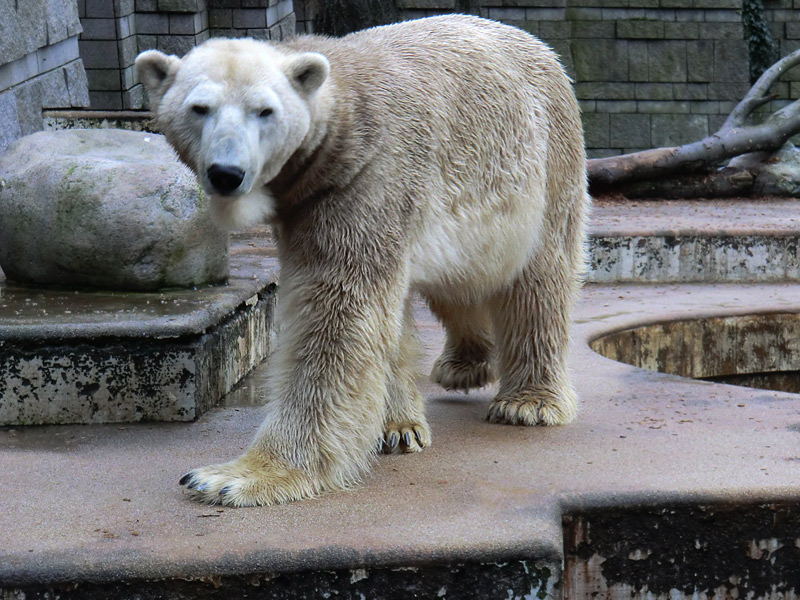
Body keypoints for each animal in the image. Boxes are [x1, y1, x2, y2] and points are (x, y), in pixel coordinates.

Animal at [136, 14, 588, 506]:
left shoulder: (367, 179)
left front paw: (235, 476)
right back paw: (461, 368)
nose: (227, 173)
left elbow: (339, 317)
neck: (345, 121)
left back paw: (528, 402)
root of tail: (538, 46)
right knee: (455, 281)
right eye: (199, 108)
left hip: (544, 163)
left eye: (265, 111)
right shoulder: (314, 202)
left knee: (536, 278)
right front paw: (397, 428)